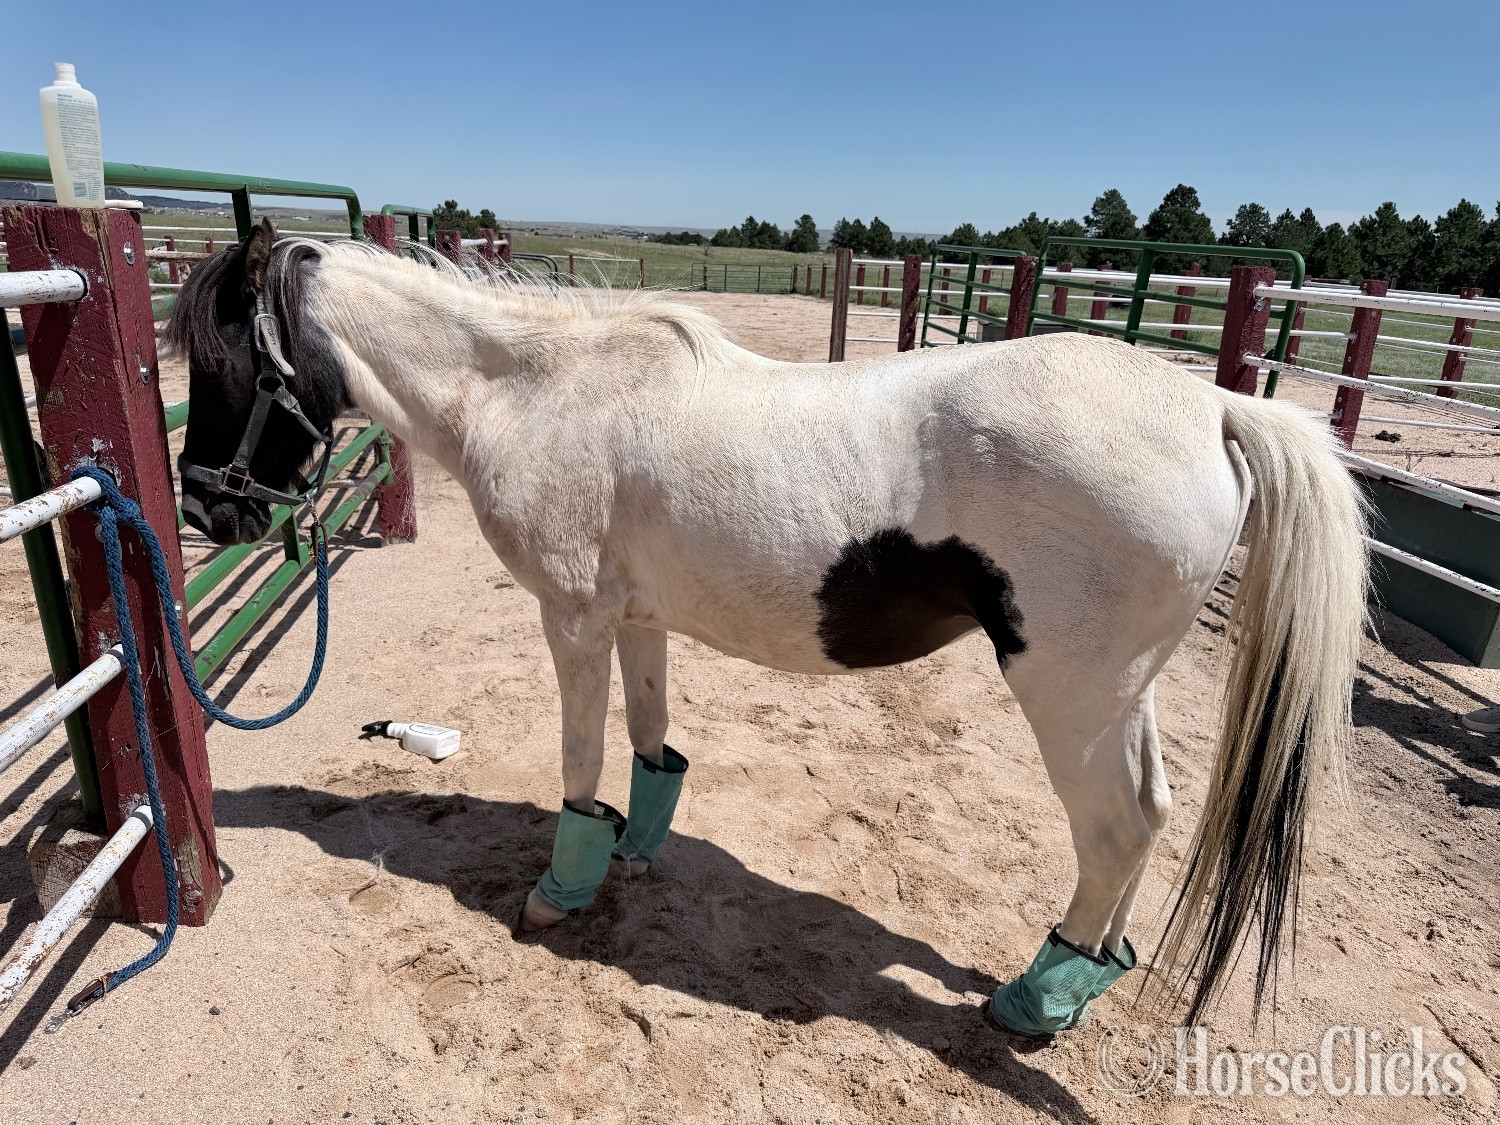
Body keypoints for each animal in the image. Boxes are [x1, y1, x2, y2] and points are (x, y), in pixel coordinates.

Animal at [168, 221, 1367, 1037]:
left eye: (223, 365)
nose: (208, 512)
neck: (532, 391)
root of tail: (1217, 408)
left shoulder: (573, 620)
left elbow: (581, 758)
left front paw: (561, 893)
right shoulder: (637, 619)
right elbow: (649, 745)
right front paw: (635, 853)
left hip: (1071, 690)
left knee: (1114, 826)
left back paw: (1034, 1001)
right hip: (1125, 691)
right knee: (1151, 813)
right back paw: (1089, 973)